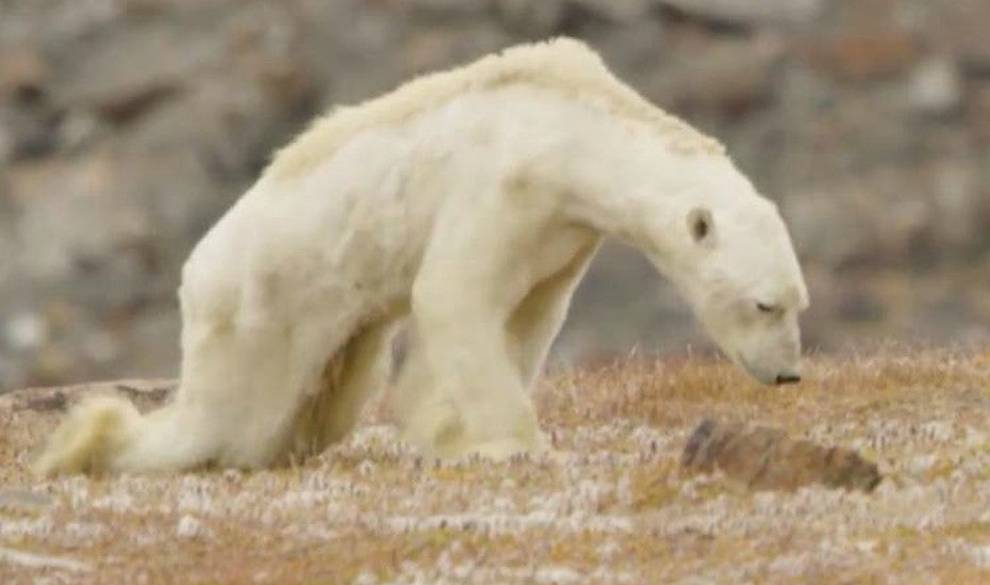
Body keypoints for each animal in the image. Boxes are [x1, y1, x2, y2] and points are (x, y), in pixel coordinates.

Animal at [35, 37, 808, 474]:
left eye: (799, 302)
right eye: (764, 303)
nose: (789, 374)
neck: (568, 128)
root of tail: (196, 275)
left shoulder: (561, 232)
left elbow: (524, 316)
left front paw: (446, 431)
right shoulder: (502, 185)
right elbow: (454, 295)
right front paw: (512, 445)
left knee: (321, 402)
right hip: (261, 307)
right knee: (228, 417)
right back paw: (93, 443)